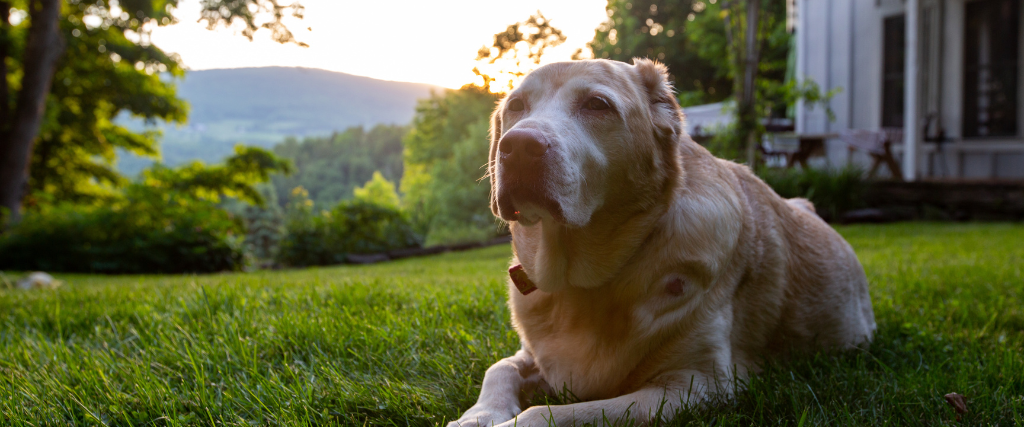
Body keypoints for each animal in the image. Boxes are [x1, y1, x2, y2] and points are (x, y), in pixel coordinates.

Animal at [452, 59, 876, 425]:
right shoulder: (532, 355)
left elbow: (546, 414)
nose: (519, 146)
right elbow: (499, 368)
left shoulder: (695, 385)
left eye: (597, 104)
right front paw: (477, 415)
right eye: (516, 106)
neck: (580, 285)